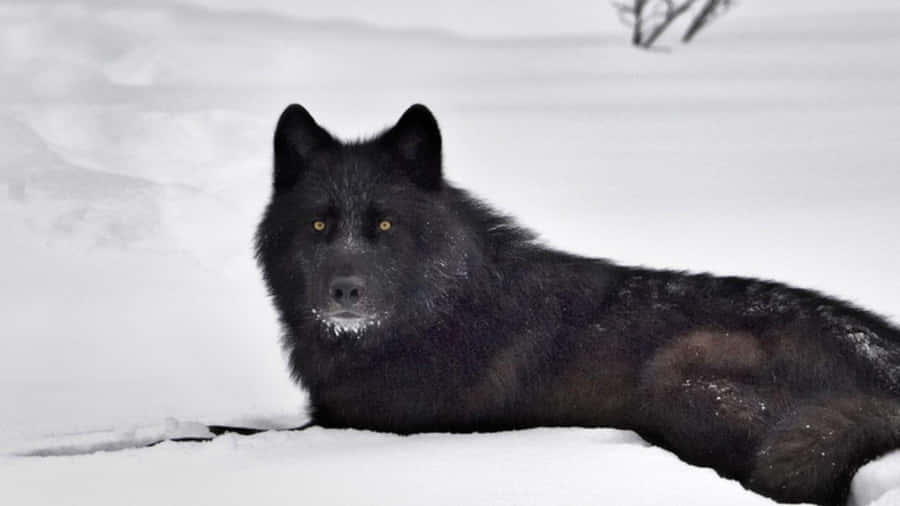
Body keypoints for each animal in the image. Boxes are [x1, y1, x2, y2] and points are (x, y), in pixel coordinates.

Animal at [255, 103, 900, 505]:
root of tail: (884, 369)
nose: (345, 291)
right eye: (319, 224)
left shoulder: (365, 425)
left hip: (680, 372)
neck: (435, 313)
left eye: (384, 225)